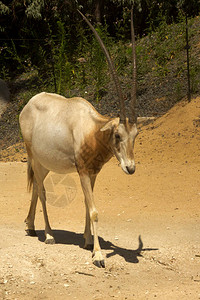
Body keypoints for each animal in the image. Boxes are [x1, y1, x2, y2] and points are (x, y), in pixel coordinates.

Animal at [19, 9, 138, 268]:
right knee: (42, 191)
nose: (131, 168)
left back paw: (31, 227)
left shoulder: (93, 173)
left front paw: (87, 242)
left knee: (37, 189)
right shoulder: (82, 171)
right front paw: (99, 256)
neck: (92, 130)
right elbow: (94, 210)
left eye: (135, 135)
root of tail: (27, 106)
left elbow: (86, 204)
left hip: (45, 164)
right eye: (117, 134)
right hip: (34, 158)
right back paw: (49, 234)